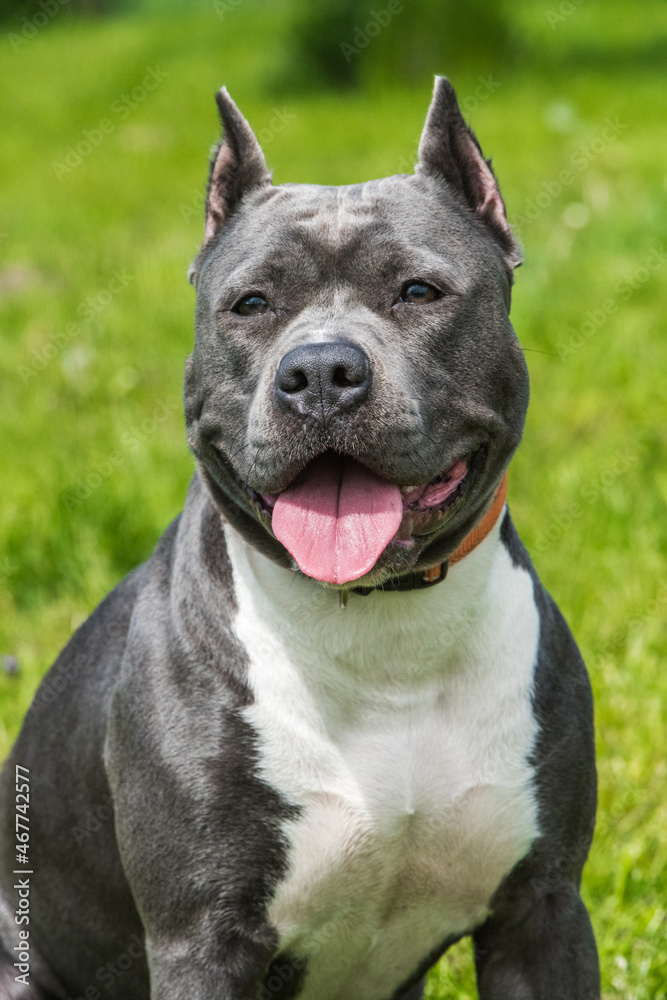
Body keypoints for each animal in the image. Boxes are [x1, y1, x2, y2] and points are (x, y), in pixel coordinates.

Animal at [0, 74, 600, 996]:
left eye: (417, 292)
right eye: (251, 305)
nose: (319, 370)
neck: (382, 631)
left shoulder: (542, 916)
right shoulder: (201, 938)